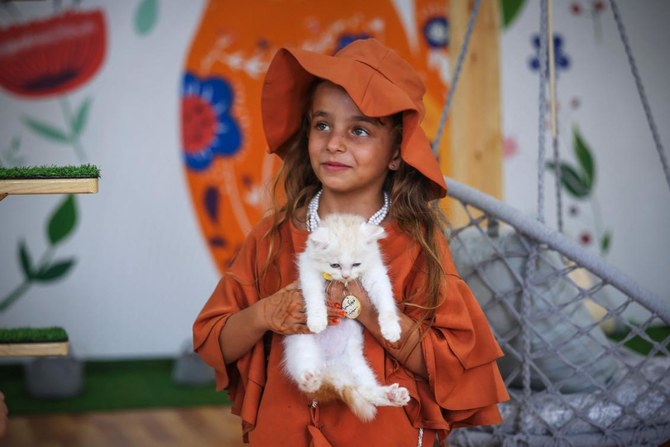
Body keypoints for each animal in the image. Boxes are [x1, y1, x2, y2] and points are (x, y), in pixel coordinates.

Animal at [284, 215, 410, 422]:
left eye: (356, 264)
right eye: (334, 265)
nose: (345, 275)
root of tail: (329, 367)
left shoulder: (376, 274)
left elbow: (385, 300)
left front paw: (391, 329)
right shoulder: (308, 269)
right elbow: (314, 295)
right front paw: (317, 319)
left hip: (357, 367)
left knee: (365, 390)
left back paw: (391, 396)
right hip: (300, 347)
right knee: (309, 383)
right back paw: (311, 379)